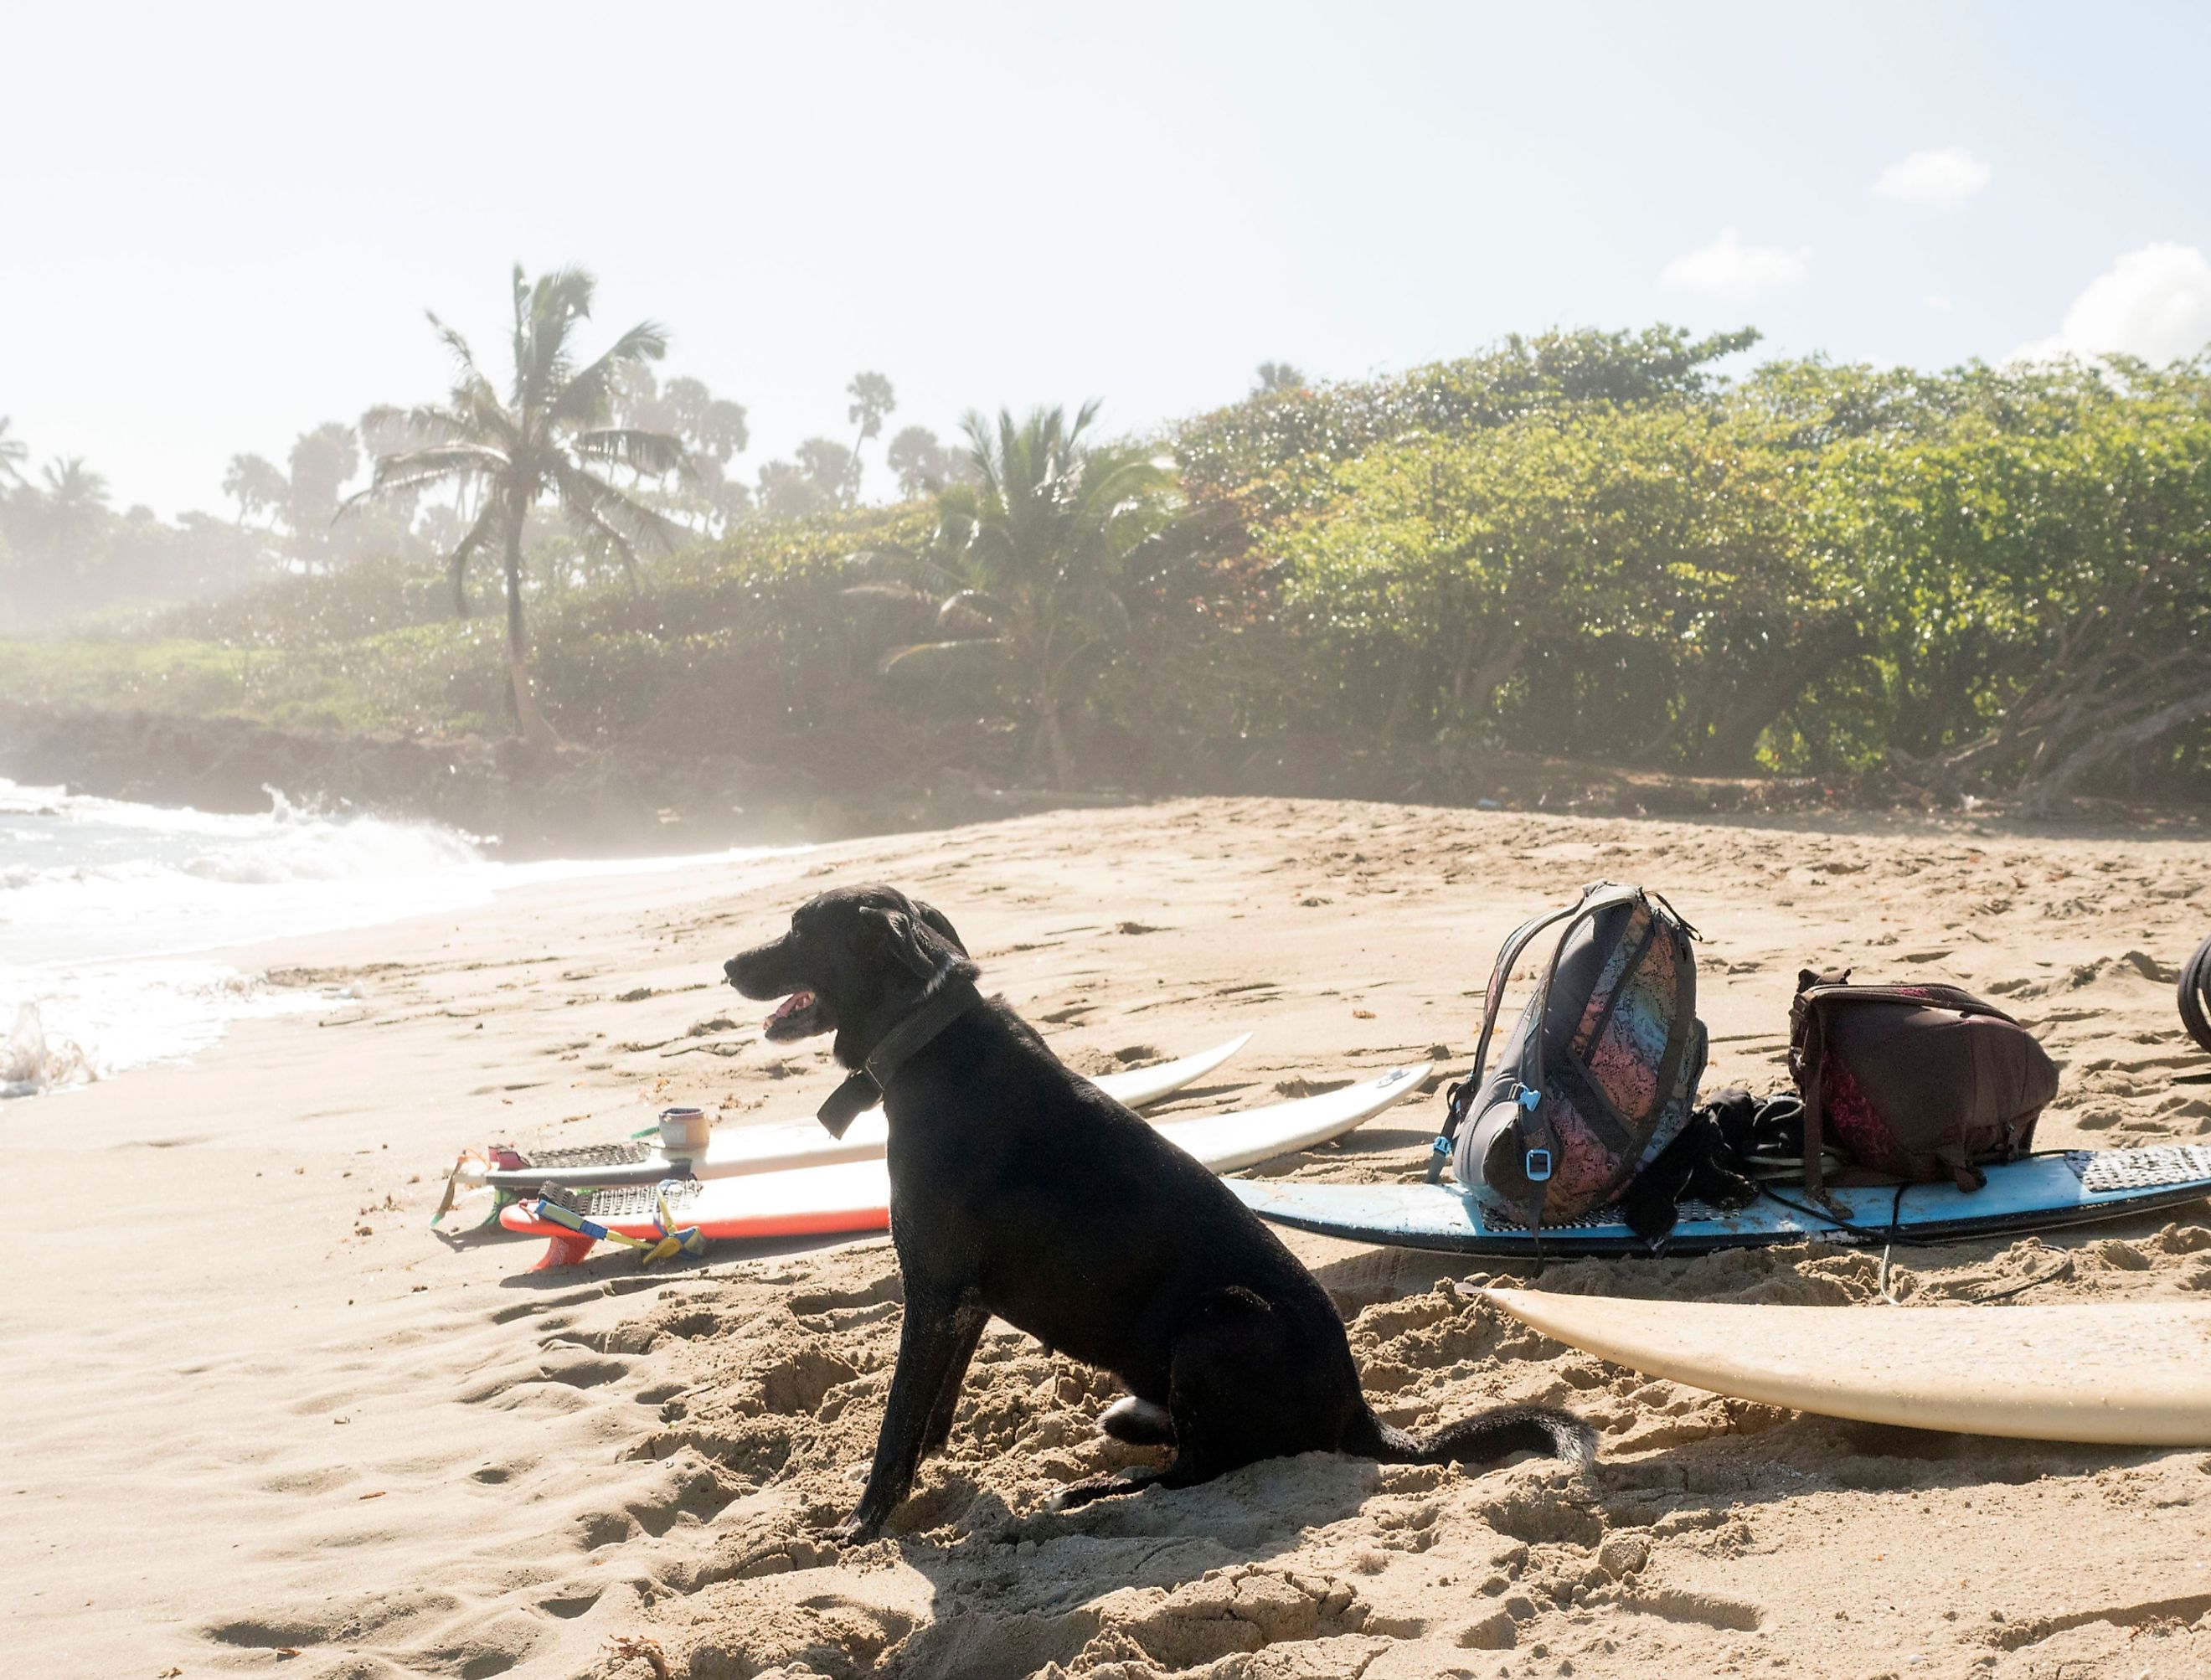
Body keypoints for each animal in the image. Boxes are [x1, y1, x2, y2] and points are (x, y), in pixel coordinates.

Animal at [724, 884, 1591, 1538]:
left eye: (798, 927)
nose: (728, 962)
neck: (926, 1036)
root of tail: (1360, 1416)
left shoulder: (933, 1290)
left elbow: (898, 1419)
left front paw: (861, 1524)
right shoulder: (958, 1301)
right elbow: (931, 1408)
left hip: (1222, 1319)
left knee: (1196, 1474)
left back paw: (1097, 1492)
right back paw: (1135, 1426)